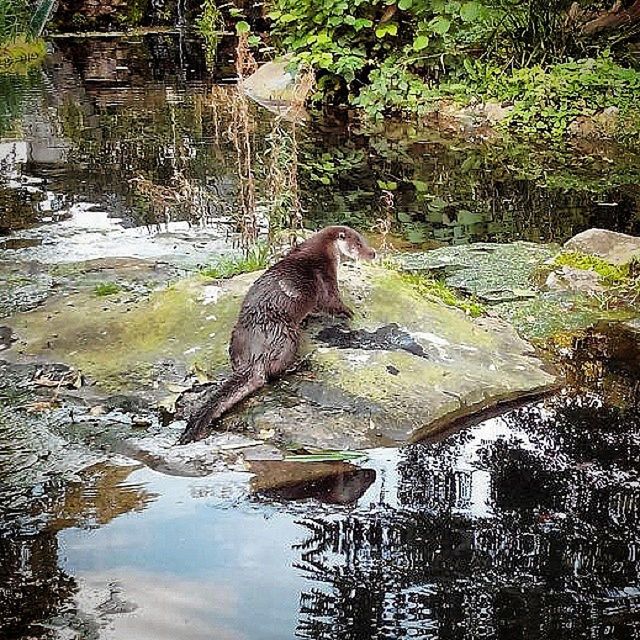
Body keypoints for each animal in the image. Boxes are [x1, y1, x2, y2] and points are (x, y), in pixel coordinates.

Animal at [176, 226, 376, 444]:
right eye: (359, 244)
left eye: (365, 241)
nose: (373, 253)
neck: (324, 252)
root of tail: (254, 355)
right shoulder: (325, 277)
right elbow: (330, 302)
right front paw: (348, 312)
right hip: (287, 335)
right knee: (274, 372)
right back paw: (300, 364)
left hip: (236, 336)